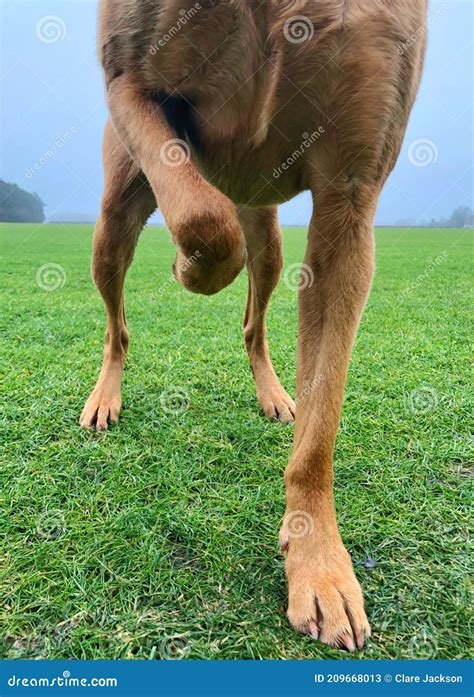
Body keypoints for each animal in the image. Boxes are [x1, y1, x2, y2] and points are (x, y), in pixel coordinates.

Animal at [80, 0, 426, 652]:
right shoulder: (128, 81)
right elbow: (202, 220)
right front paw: (185, 267)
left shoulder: (351, 191)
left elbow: (320, 425)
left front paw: (319, 567)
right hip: (114, 214)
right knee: (121, 326)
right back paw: (105, 396)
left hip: (268, 234)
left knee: (252, 320)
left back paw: (274, 394)